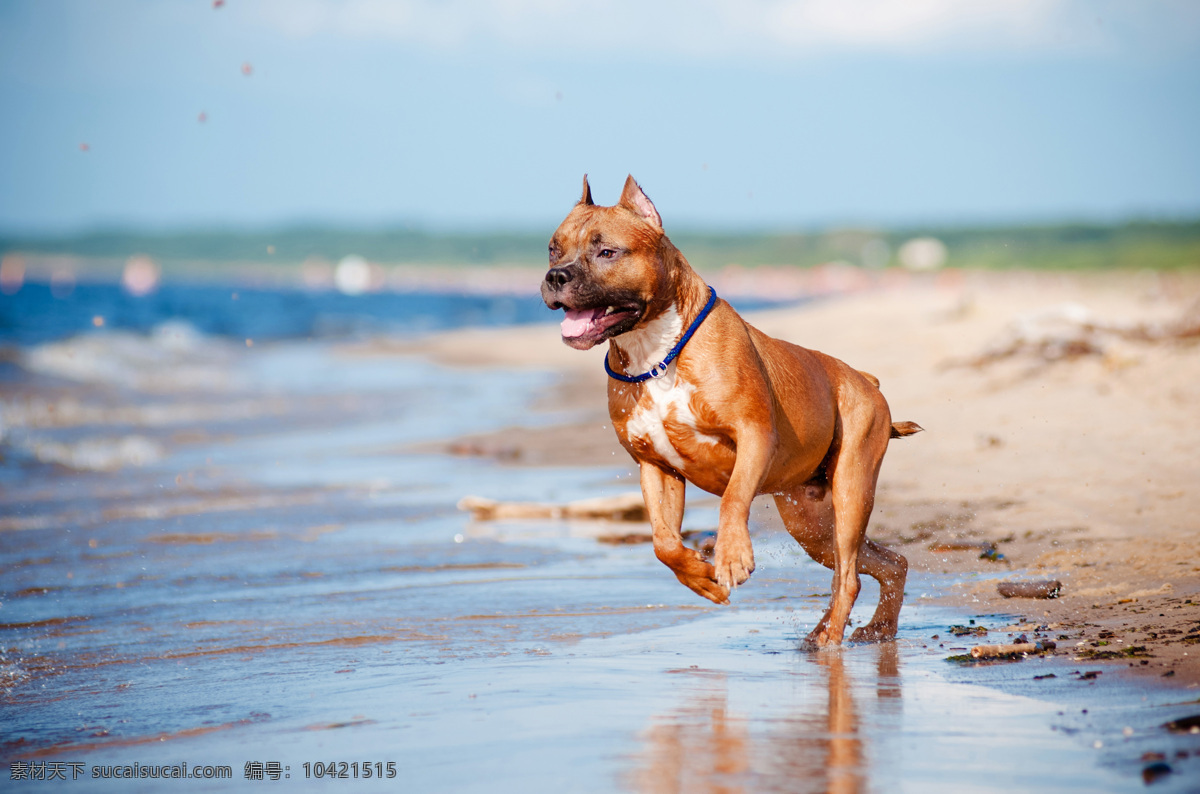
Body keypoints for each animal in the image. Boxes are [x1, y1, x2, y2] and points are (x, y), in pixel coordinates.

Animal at [540, 176, 921, 647]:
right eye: (553, 249)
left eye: (607, 252)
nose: (555, 275)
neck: (656, 351)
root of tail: (867, 380)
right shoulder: (655, 467)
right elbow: (663, 542)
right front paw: (701, 577)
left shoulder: (753, 435)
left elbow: (733, 498)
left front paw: (731, 556)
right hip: (811, 525)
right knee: (886, 563)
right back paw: (869, 628)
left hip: (852, 490)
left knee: (849, 576)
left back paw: (831, 638)